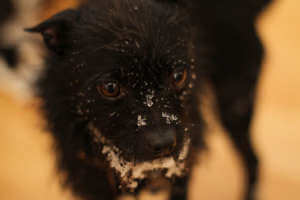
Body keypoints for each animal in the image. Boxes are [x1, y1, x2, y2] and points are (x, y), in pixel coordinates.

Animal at [27, 0, 272, 200]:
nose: (164, 144)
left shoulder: (181, 176)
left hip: (235, 106)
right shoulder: (92, 183)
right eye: (110, 88)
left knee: (254, 160)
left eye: (178, 75)